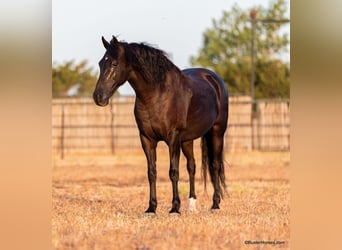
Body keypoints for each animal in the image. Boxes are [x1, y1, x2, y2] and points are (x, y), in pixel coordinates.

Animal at [92, 35, 228, 215]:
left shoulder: (173, 138)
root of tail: (214, 79)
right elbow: (152, 172)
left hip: (216, 133)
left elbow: (173, 172)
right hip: (187, 140)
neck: (158, 94)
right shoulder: (147, 139)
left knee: (215, 166)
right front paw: (151, 207)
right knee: (192, 166)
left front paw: (174, 208)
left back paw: (215, 204)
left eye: (114, 63)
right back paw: (191, 205)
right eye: (101, 63)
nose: (98, 97)